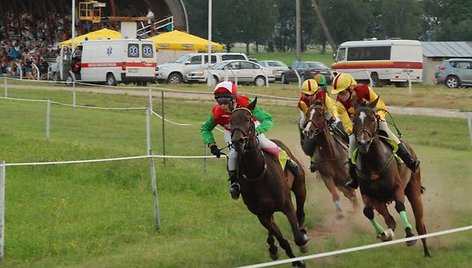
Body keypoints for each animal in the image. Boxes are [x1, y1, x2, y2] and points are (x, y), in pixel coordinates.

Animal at [230, 99, 310, 268]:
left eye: (248, 119)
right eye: (230, 121)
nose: (237, 141)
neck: (258, 174)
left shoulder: (286, 205)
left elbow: (298, 237)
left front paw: (302, 243)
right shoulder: (262, 215)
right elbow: (283, 241)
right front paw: (296, 261)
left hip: (300, 186)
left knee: (300, 212)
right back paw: (272, 247)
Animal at [350, 98, 432, 255]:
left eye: (372, 119)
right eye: (354, 120)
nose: (363, 143)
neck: (373, 165)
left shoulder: (397, 188)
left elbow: (400, 206)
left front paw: (409, 236)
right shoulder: (369, 195)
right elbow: (368, 212)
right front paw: (383, 233)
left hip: (413, 189)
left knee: (420, 224)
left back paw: (426, 251)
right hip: (381, 201)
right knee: (390, 220)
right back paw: (387, 232)